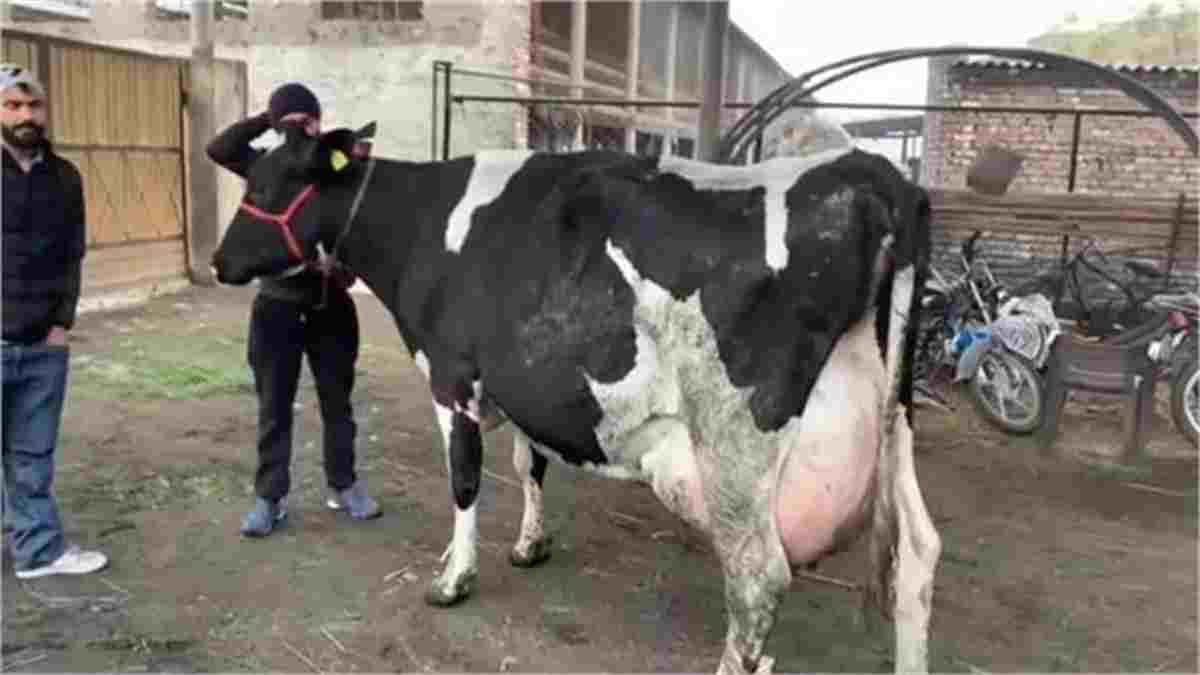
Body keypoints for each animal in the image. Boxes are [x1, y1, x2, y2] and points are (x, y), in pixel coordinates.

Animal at [209, 125, 941, 675]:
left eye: (266, 187)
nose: (218, 262)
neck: (425, 224)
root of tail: (874, 173)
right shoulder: (524, 380)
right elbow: (529, 463)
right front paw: (530, 544)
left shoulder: (452, 375)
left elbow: (465, 480)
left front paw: (454, 579)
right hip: (894, 429)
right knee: (917, 553)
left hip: (734, 446)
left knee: (757, 576)